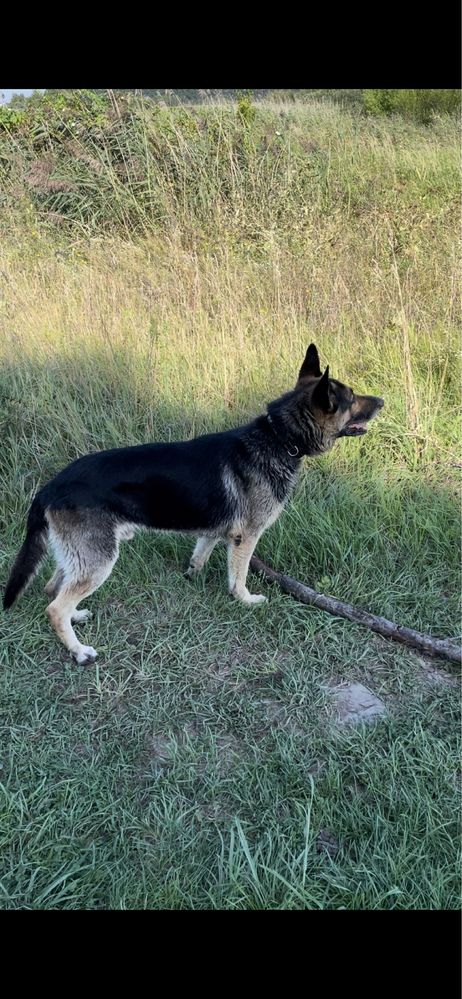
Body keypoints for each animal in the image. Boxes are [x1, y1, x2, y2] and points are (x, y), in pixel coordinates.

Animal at [3, 344, 384, 664]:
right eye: (351, 398)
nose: (381, 401)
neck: (279, 438)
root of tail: (50, 487)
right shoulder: (246, 537)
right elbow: (238, 576)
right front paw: (244, 600)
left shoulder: (217, 531)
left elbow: (201, 553)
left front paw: (192, 575)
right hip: (99, 559)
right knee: (55, 606)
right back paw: (78, 650)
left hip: (80, 555)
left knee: (53, 588)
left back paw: (77, 616)